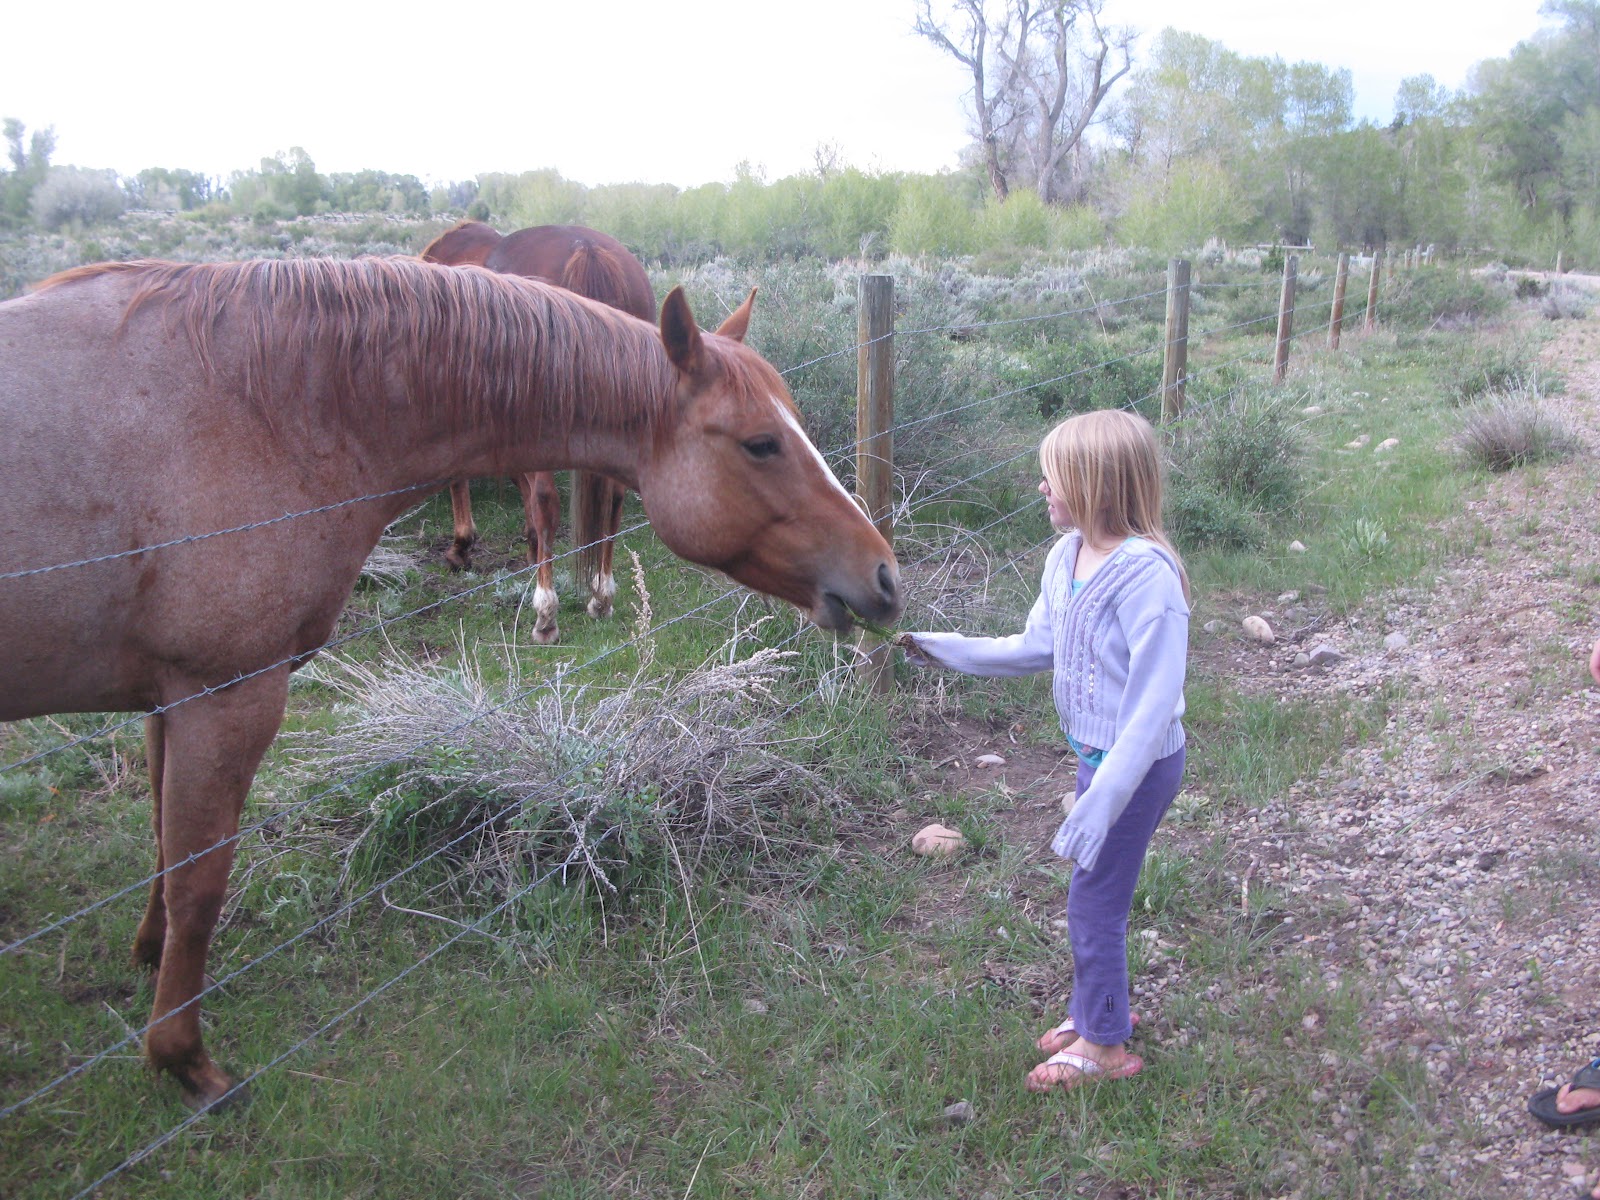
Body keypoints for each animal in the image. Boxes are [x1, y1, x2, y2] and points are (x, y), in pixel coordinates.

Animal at [420, 221, 657, 644]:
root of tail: (587, 250)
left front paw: (462, 546)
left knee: (547, 500)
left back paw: (546, 613)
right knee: (612, 497)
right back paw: (601, 596)